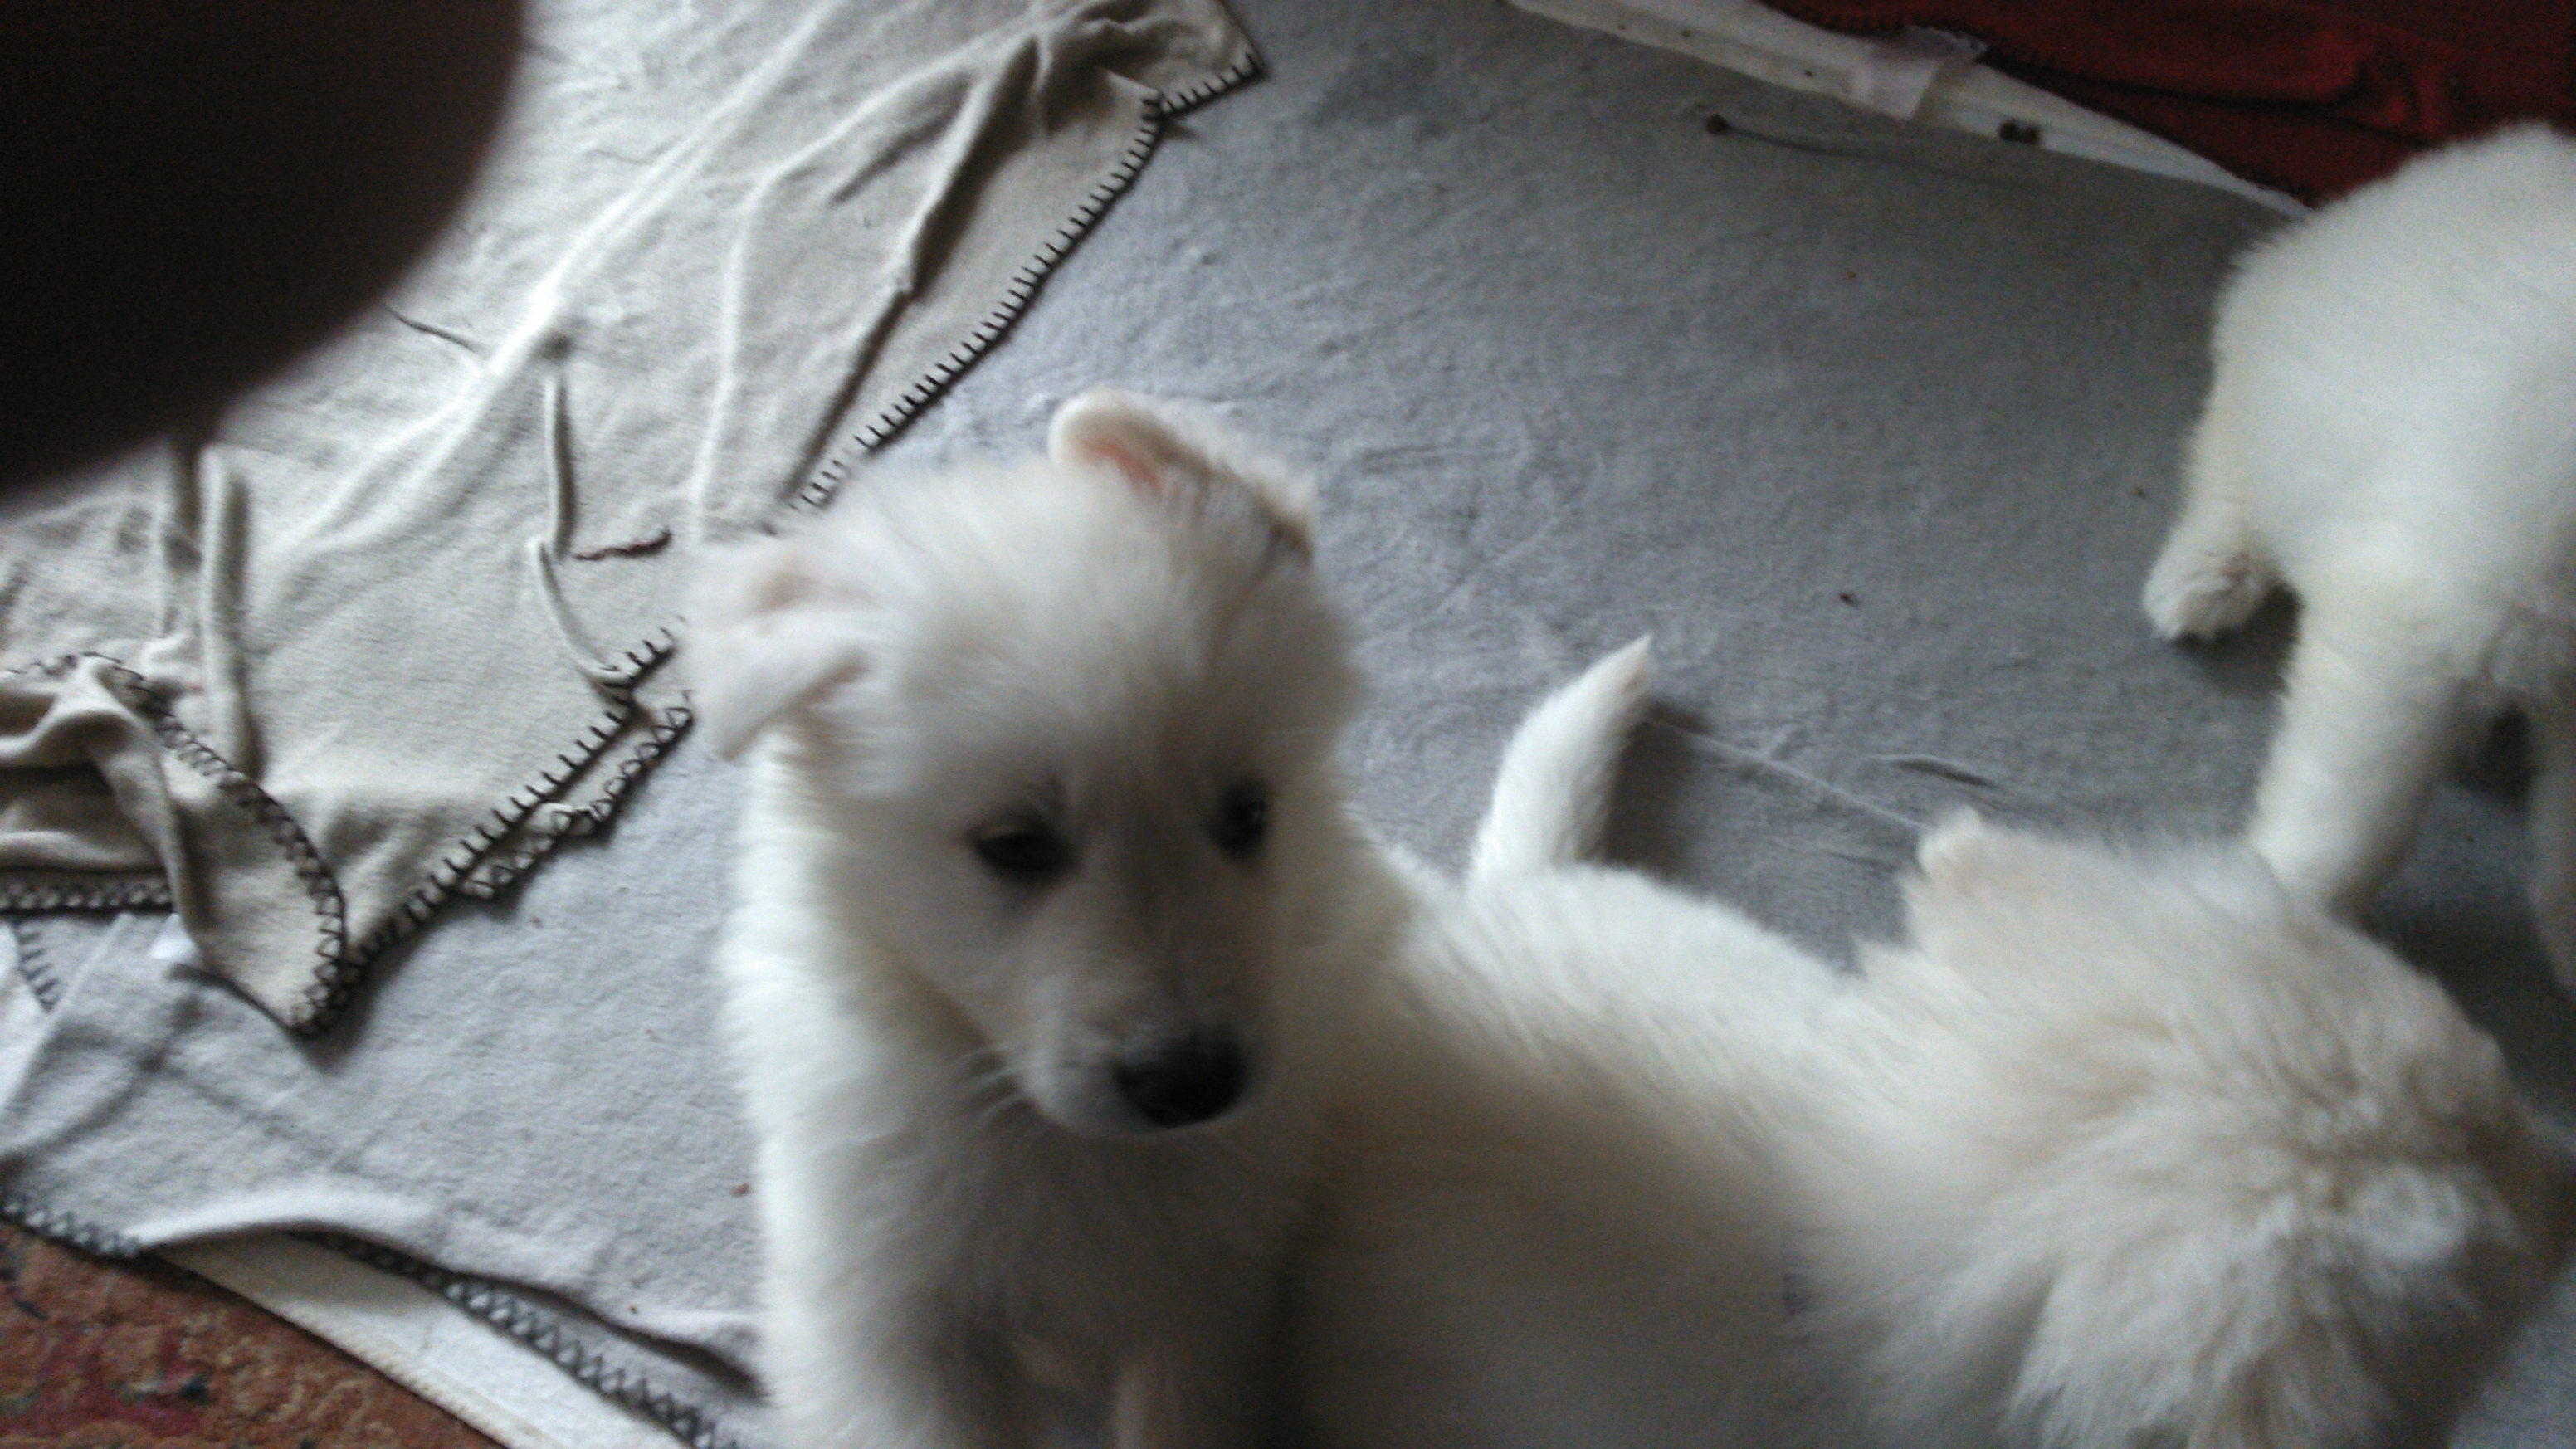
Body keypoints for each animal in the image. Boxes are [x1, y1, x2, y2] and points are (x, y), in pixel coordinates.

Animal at [687, 389, 1411, 1448]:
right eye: (1015, 844)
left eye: (1247, 813)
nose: (1193, 1083)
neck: (1057, 1140)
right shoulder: (887, 1317)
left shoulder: (1215, 1300)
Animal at [2140, 125, 2576, 993]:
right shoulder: (2417, 625)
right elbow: (2353, 812)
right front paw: (2282, 921)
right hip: (2287, 406)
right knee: (2226, 463)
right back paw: (2203, 580)